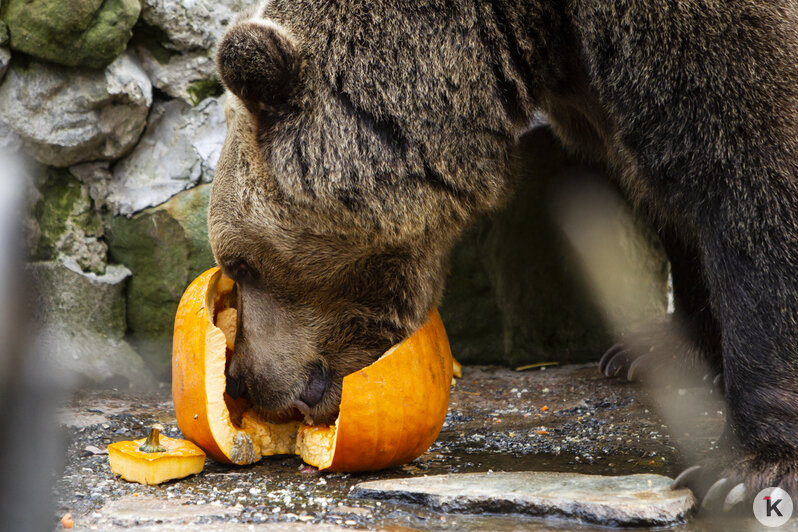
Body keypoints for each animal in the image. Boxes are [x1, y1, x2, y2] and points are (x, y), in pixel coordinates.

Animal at [209, 0, 798, 508]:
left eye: (240, 263)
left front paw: (746, 468)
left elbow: (754, 172)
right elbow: (666, 192)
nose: (243, 378)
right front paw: (659, 348)